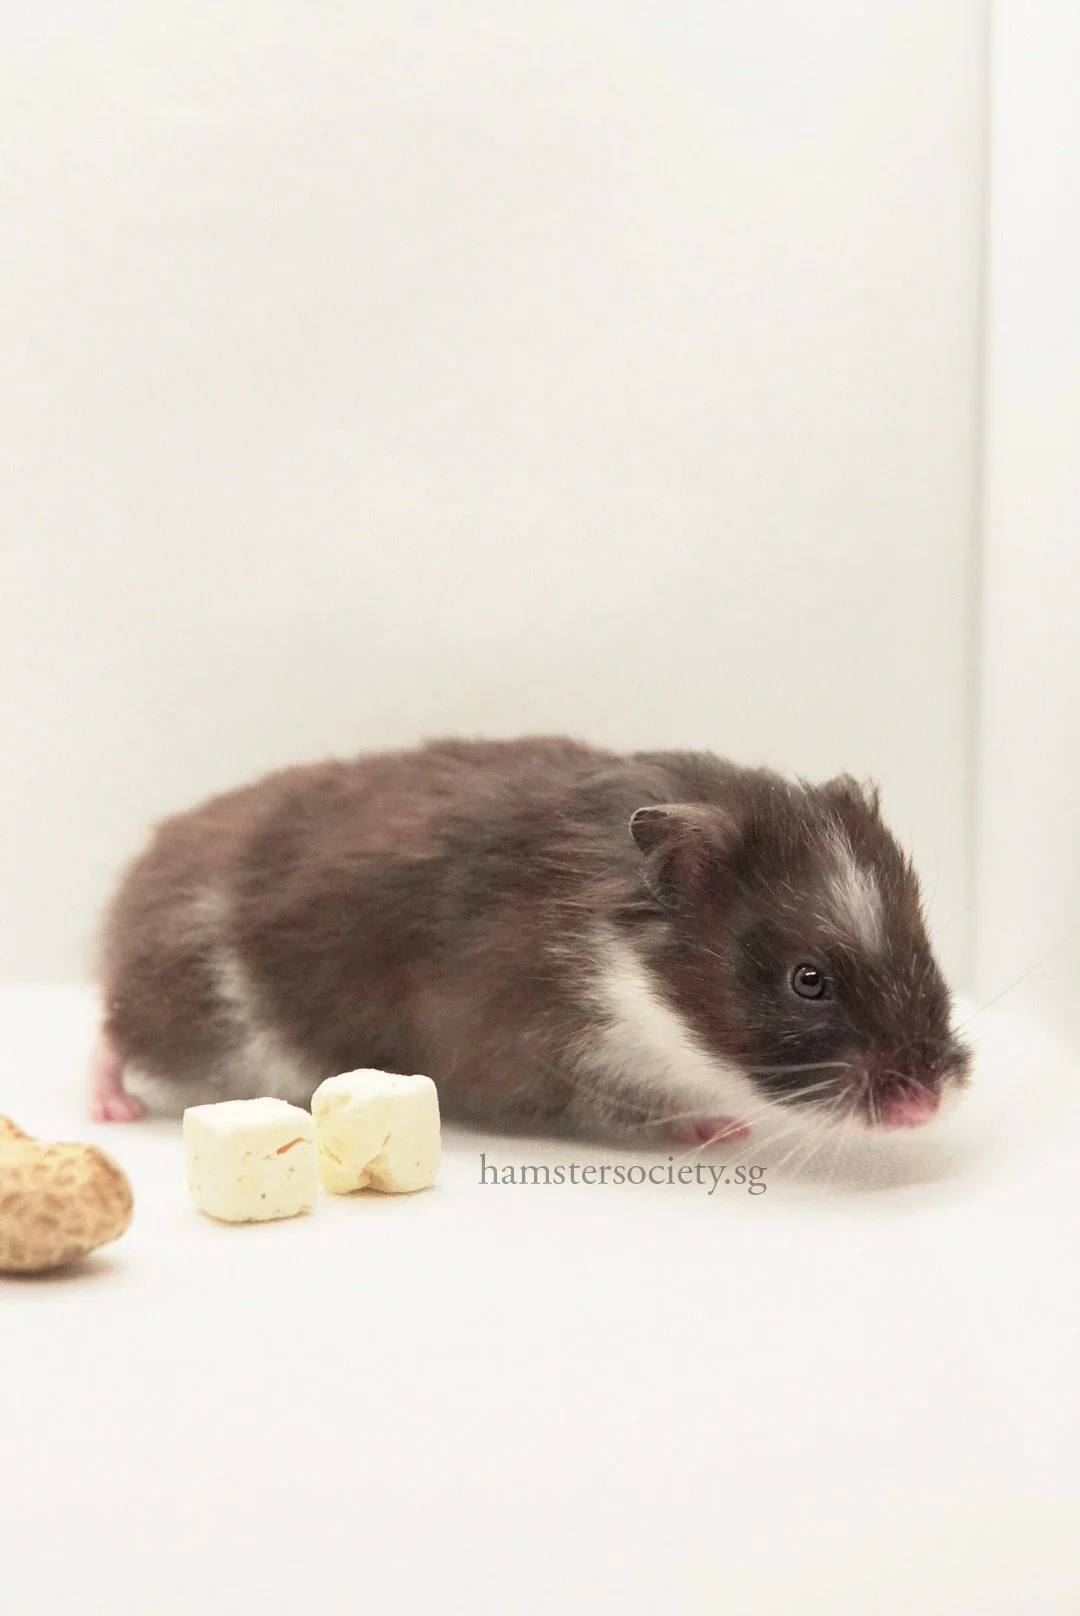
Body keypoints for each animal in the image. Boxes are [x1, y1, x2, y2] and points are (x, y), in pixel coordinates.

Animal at [89, 736, 971, 1146]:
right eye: (807, 979)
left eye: (924, 947)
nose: (926, 1107)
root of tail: (135, 879)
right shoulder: (552, 1054)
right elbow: (629, 1108)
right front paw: (720, 1131)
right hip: (199, 1008)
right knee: (113, 1027)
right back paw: (113, 1110)